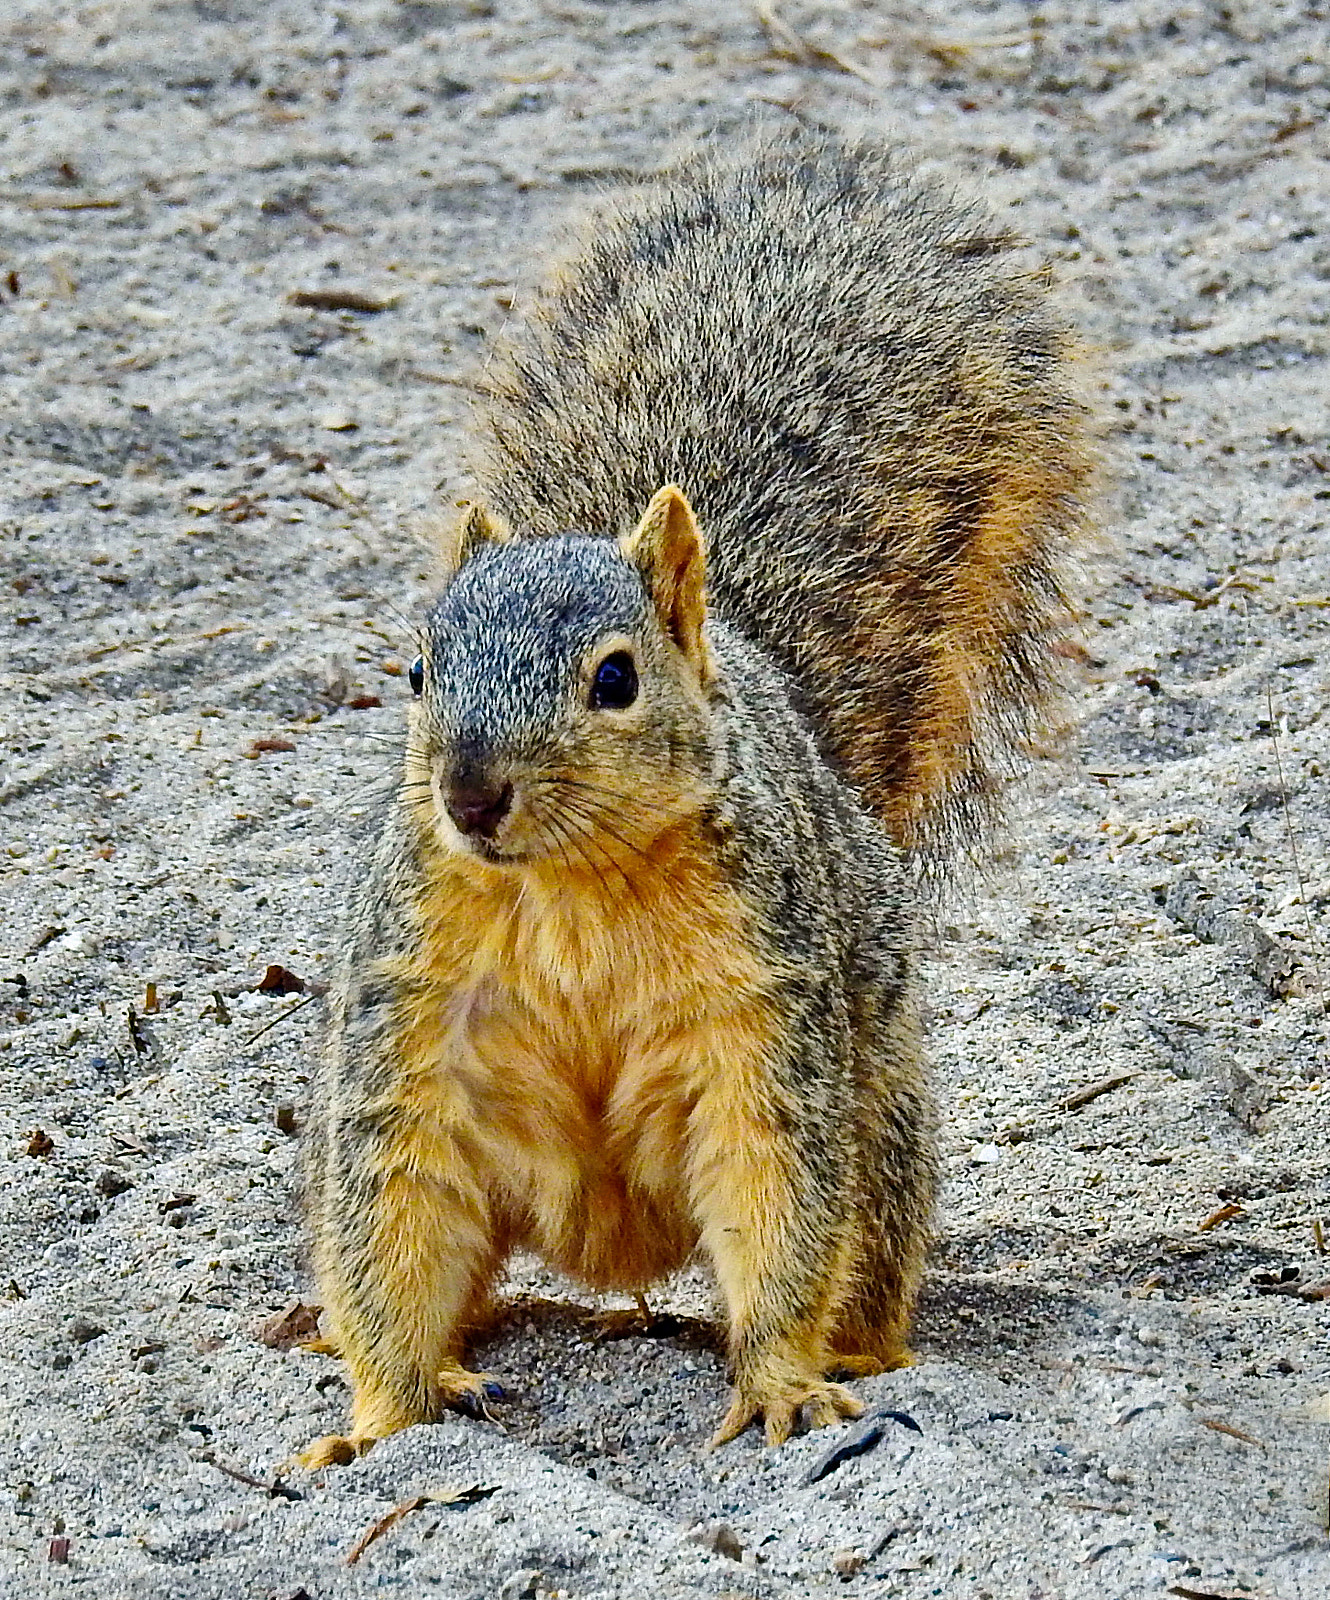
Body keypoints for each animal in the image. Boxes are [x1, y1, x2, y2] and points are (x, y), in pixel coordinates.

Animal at [297, 128, 1095, 1469]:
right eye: (414, 670)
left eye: (615, 678)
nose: (468, 794)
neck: (570, 884)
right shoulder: (413, 1015)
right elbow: (396, 1198)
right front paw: (388, 1415)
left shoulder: (760, 1011)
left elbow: (773, 1180)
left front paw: (778, 1380)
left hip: (877, 1114)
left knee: (858, 1238)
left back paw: (859, 1352)